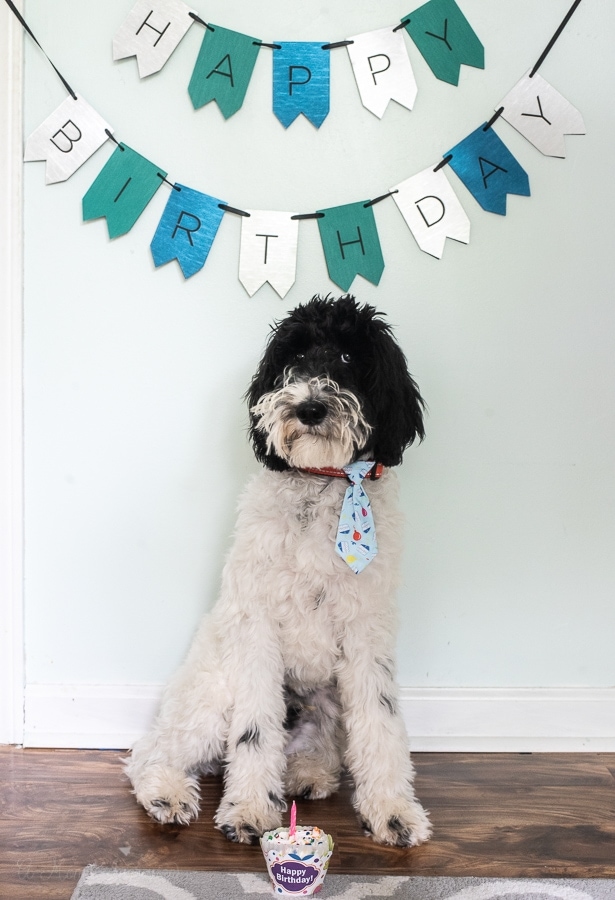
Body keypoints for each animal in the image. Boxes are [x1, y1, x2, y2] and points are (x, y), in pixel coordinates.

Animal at [125, 294, 434, 844]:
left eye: (349, 357)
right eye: (297, 357)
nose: (309, 407)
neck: (323, 484)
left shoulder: (367, 632)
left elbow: (381, 722)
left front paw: (392, 810)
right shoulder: (258, 628)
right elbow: (253, 732)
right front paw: (249, 808)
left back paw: (307, 773)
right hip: (211, 697)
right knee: (148, 753)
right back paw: (168, 792)